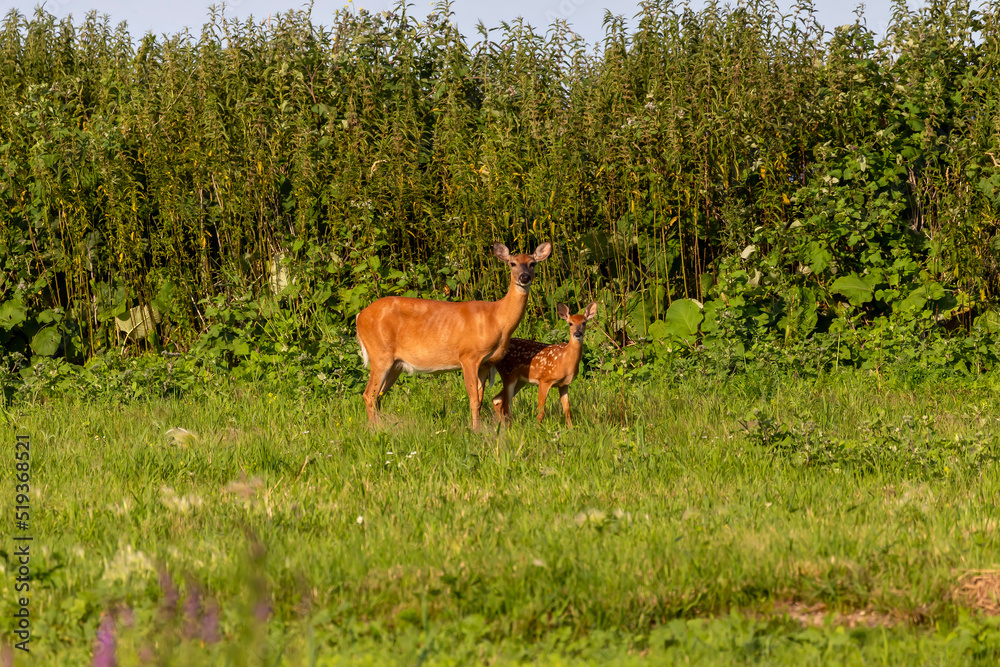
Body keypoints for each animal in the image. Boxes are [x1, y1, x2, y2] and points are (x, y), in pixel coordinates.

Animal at [356, 243, 552, 430]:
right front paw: (475, 430)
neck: (497, 319)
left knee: (378, 396)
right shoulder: (469, 355)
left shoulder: (485, 363)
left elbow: (480, 399)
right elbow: (473, 399)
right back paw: (375, 430)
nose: (524, 277)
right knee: (369, 394)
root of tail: (360, 316)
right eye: (512, 263)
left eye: (532, 263)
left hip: (396, 364)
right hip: (380, 354)